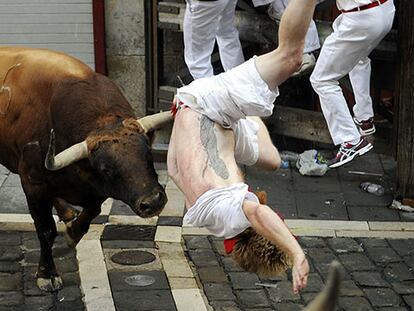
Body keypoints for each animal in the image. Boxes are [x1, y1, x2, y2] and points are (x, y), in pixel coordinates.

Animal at [0, 46, 171, 292]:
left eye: (148, 153)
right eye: (106, 168)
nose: (154, 202)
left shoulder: (95, 189)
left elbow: (94, 210)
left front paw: (73, 232)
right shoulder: (33, 183)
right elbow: (46, 230)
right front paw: (47, 274)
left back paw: (67, 213)